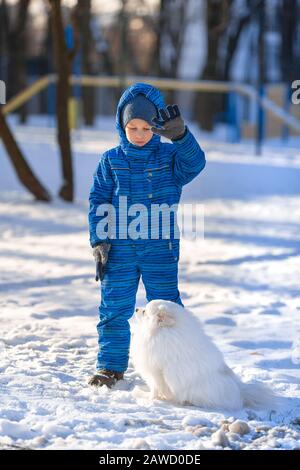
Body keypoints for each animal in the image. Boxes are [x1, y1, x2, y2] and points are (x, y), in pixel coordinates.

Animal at [131, 300, 276, 410]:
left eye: (144, 312)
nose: (136, 309)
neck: (159, 332)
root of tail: (240, 392)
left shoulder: (155, 371)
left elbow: (155, 389)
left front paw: (146, 397)